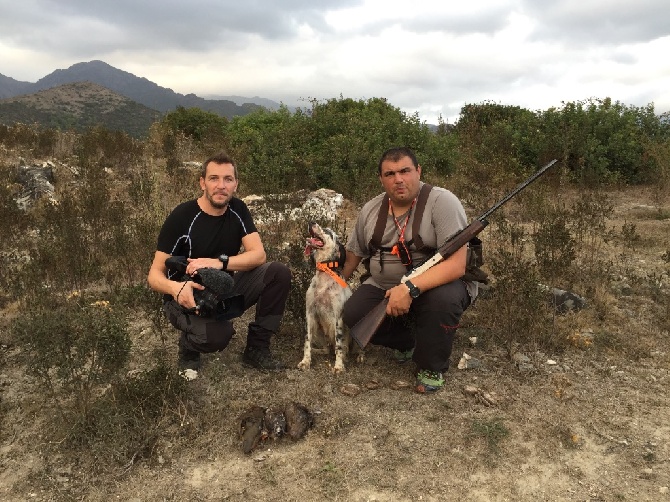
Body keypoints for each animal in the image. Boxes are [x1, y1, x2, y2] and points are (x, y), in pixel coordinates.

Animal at [300, 222, 356, 370]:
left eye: (327, 231)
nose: (311, 222)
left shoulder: (338, 317)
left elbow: (339, 345)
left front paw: (338, 366)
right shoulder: (310, 314)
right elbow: (307, 341)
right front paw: (305, 361)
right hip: (318, 328)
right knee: (326, 349)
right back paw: (317, 350)